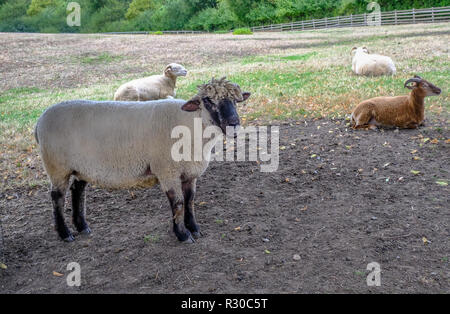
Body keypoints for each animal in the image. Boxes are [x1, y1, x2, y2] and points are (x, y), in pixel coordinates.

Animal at [36, 77, 250, 244]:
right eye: (207, 100)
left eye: (236, 101)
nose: (233, 123)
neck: (191, 124)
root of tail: (39, 121)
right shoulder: (167, 171)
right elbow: (178, 203)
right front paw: (182, 234)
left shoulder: (190, 173)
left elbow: (190, 201)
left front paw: (194, 228)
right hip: (57, 167)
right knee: (57, 197)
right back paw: (65, 233)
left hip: (82, 167)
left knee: (77, 190)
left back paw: (82, 226)